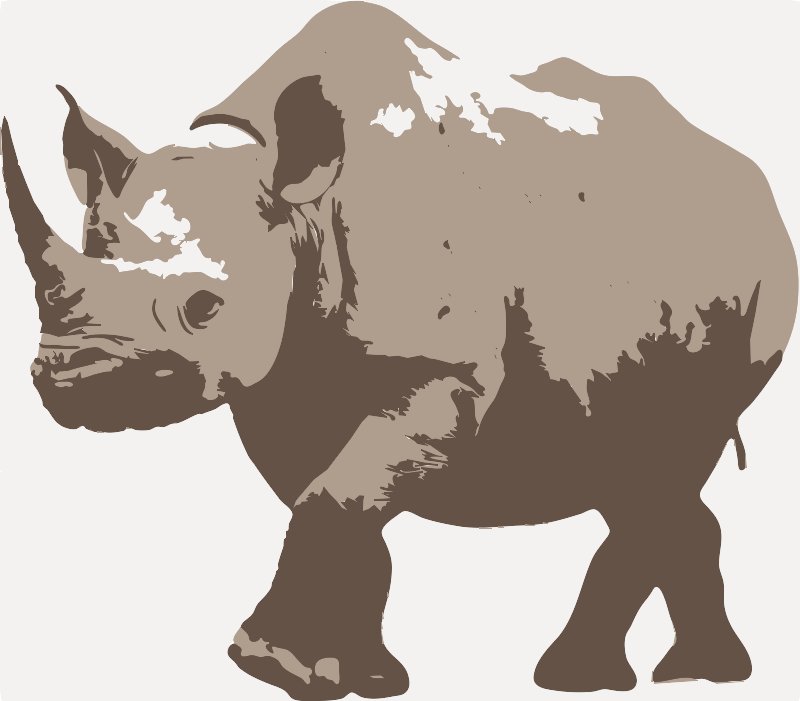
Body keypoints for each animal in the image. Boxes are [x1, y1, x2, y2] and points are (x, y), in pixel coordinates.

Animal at [2, 2, 797, 699]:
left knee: (662, 458)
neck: (302, 208)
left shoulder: (443, 369)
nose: (73, 379)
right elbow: (338, 494)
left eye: (205, 307)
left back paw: (617, 678)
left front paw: (269, 666)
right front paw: (363, 678)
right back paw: (673, 675)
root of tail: (754, 185)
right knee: (632, 467)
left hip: (751, 289)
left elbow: (339, 491)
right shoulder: (286, 373)